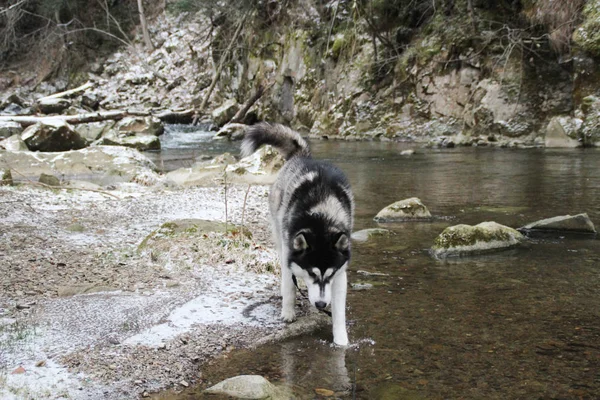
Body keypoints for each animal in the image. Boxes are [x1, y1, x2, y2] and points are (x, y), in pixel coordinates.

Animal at [241, 122, 352, 346]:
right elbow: (289, 287)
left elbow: (338, 309)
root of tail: (302, 156)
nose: (321, 304)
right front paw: (288, 312)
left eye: (329, 275)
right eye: (312, 273)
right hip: (278, 233)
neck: (321, 217)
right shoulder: (288, 253)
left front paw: (341, 340)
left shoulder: (340, 272)